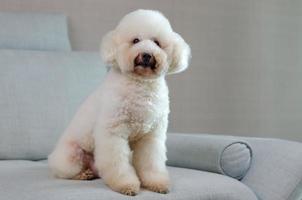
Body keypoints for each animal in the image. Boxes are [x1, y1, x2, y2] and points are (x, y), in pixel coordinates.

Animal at [49, 9, 191, 195]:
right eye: (135, 40)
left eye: (157, 43)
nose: (147, 55)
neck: (140, 84)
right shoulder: (113, 133)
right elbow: (118, 164)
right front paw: (126, 185)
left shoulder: (150, 137)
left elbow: (151, 162)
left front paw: (157, 183)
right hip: (71, 155)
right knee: (66, 172)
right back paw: (82, 174)